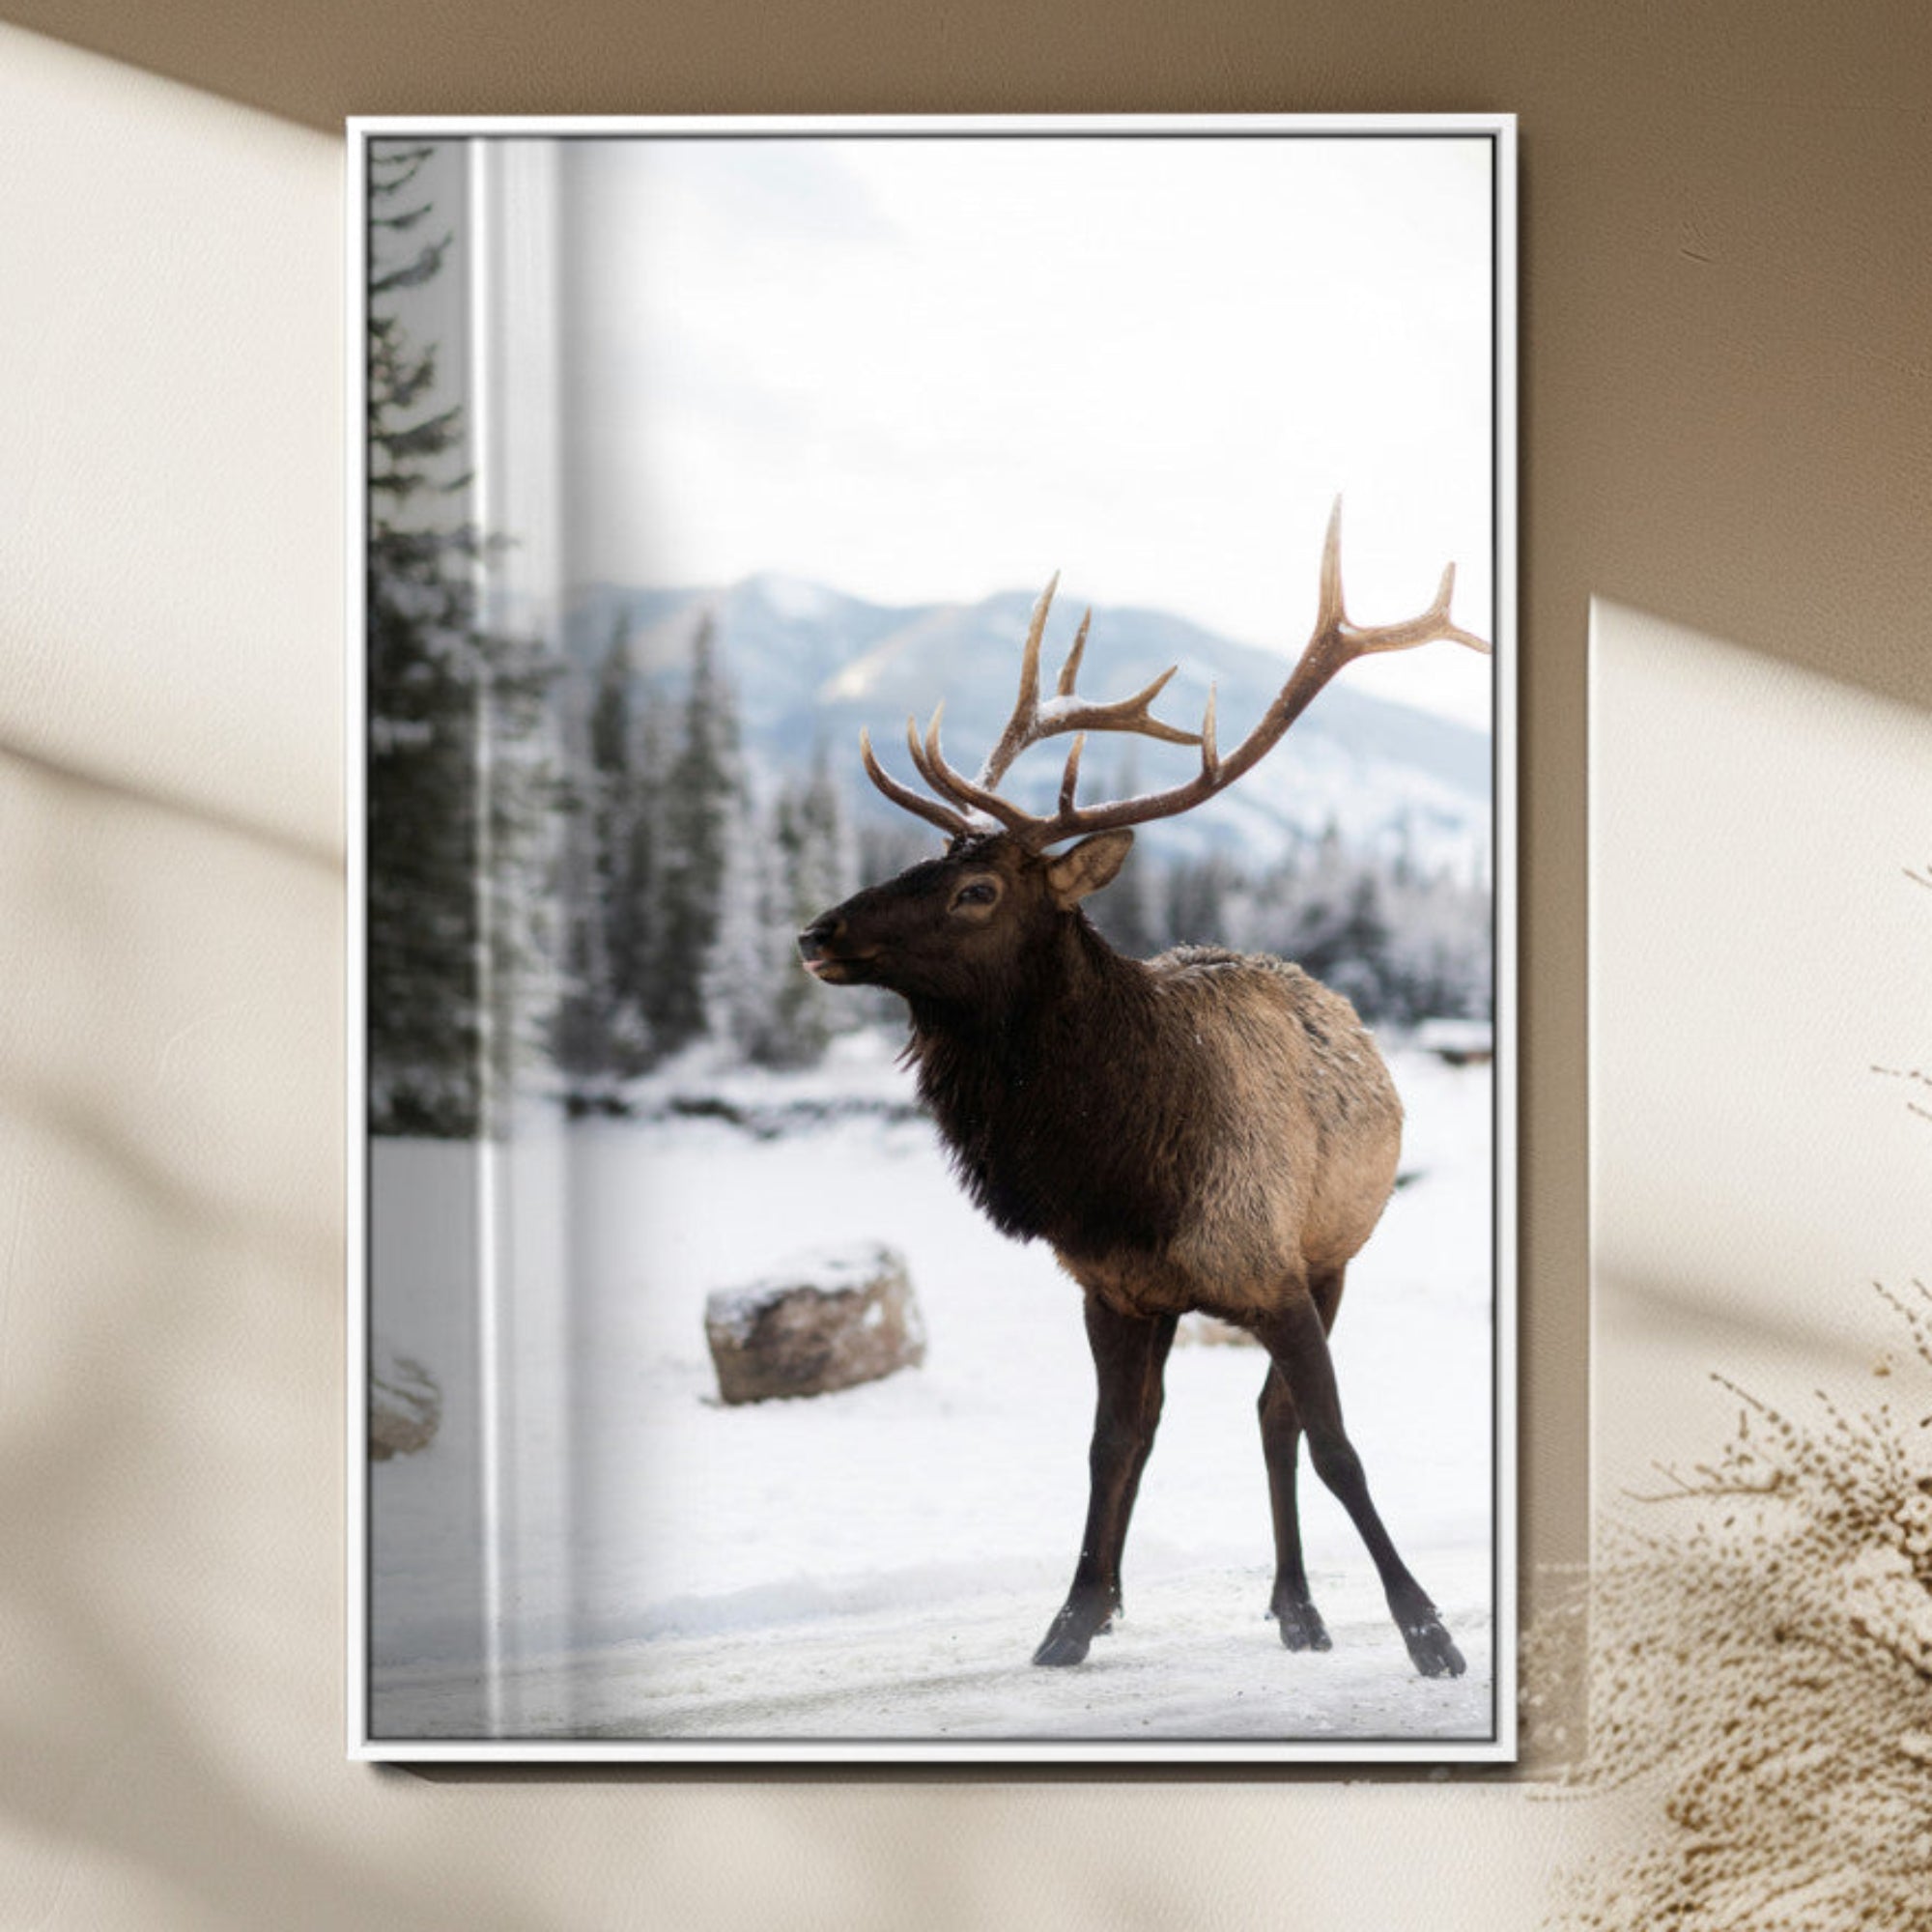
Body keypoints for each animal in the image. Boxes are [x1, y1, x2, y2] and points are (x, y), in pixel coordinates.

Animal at [796, 503, 1490, 1678]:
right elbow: (1110, 1440)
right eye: (924, 858)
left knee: (1273, 1420)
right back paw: (1247, 1602)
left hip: (1332, 1255)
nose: (818, 930)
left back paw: (1300, 1606)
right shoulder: (1111, 1287)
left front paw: (1427, 1629)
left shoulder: (1277, 1268)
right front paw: (1073, 1616)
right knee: (1184, 1422)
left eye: (976, 888)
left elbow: (1336, 1443)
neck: (1123, 1171)